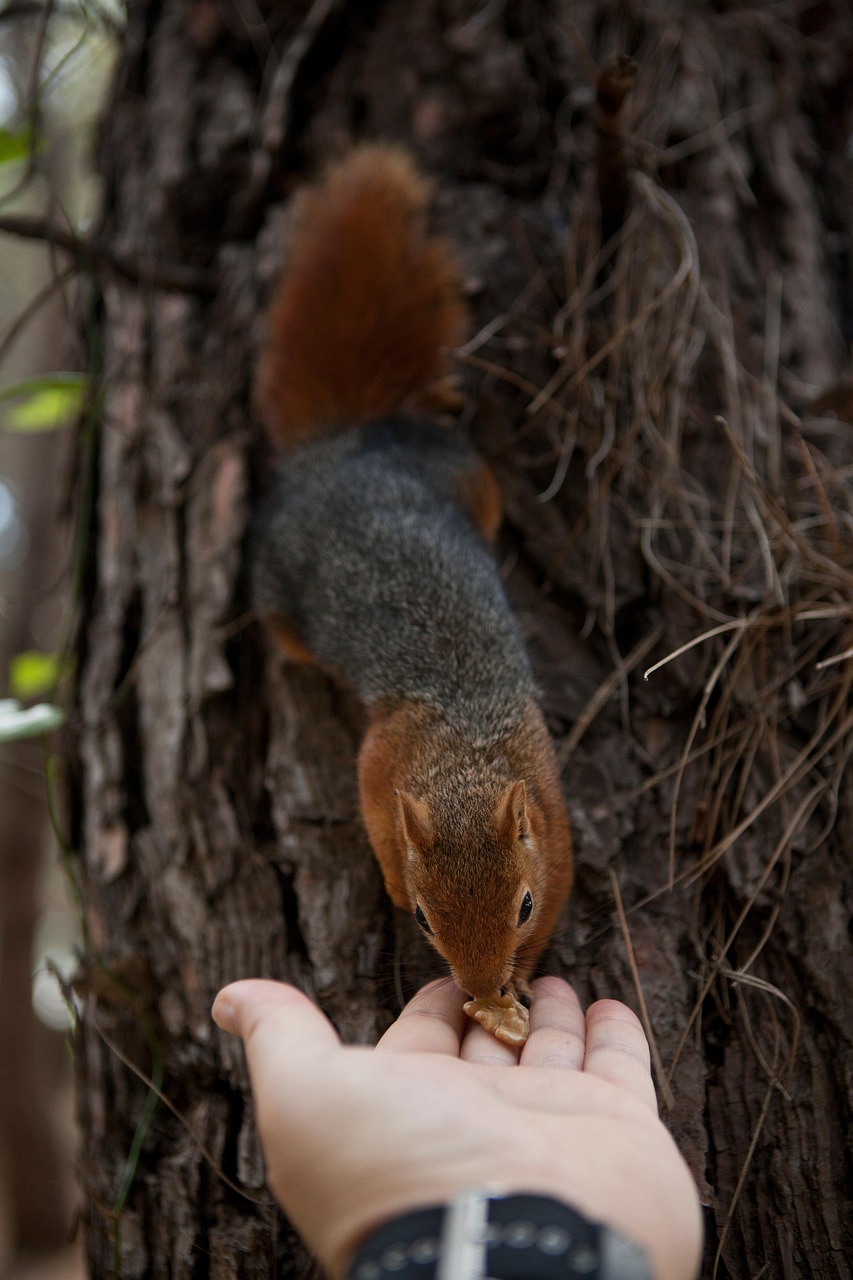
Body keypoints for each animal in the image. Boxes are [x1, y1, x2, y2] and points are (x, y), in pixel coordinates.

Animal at [251, 144, 574, 1044]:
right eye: (425, 920)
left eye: (521, 904)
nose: (479, 982)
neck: (460, 751)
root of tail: (349, 444)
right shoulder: (380, 755)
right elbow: (373, 806)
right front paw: (395, 879)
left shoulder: (550, 809)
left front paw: (519, 982)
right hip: (282, 595)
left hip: (470, 485)